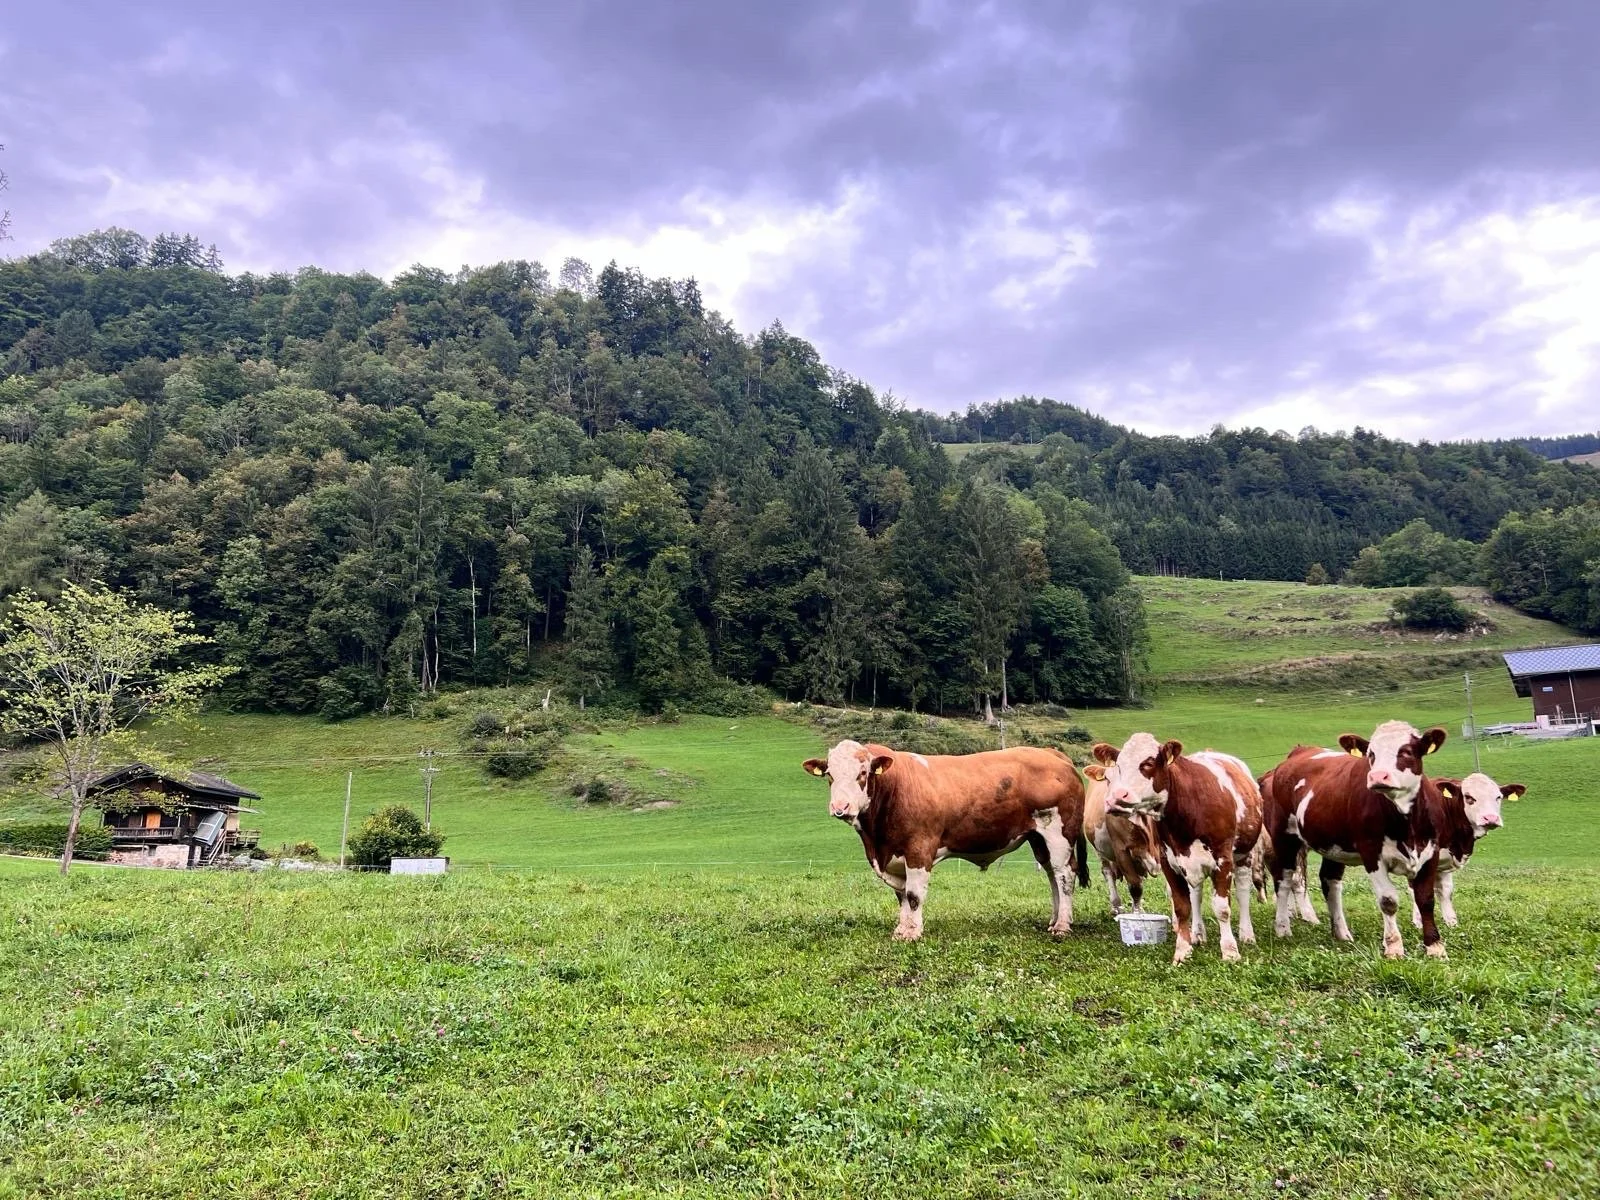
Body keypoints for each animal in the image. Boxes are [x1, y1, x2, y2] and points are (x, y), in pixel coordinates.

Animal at [802, 740, 1089, 941]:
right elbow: (901, 895)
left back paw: (1063, 926)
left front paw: (912, 933)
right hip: (1038, 838)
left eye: (863, 773)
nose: (841, 807)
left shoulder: (919, 849)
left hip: (1059, 834)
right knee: (1051, 875)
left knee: (1064, 874)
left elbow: (914, 894)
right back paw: (1054, 920)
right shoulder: (894, 856)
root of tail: (1051, 753)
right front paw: (901, 929)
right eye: (829, 775)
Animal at [1082, 763, 1160, 915]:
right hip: (1100, 850)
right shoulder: (1121, 850)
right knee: (1108, 872)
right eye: (1108, 779)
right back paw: (1116, 906)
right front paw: (1137, 914)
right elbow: (1135, 886)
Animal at [1091, 735, 1263, 964]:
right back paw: (1198, 934)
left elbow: (1222, 908)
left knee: (1243, 891)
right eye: (1118, 765)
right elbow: (1182, 907)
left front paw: (1230, 951)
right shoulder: (1169, 861)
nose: (1117, 798)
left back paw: (1247, 935)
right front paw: (1182, 950)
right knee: (1196, 894)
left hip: (1245, 854)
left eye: (1148, 763)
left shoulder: (1223, 858)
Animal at [1259, 721, 1450, 960]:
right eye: (1371, 754)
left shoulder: (1431, 852)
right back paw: (1283, 927)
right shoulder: (1372, 853)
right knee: (1283, 880)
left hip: (1333, 845)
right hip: (1284, 838)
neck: (1406, 823)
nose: (1378, 776)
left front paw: (1435, 946)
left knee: (1330, 881)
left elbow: (1425, 899)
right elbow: (1388, 900)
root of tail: (1299, 751)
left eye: (1406, 751)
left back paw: (1341, 932)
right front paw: (1394, 947)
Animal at [1410, 772, 1524, 929]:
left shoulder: (1443, 860)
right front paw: (1419, 923)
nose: (1491, 818)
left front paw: (1451, 923)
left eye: (1498, 797)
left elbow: (1446, 890)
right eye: (1469, 797)